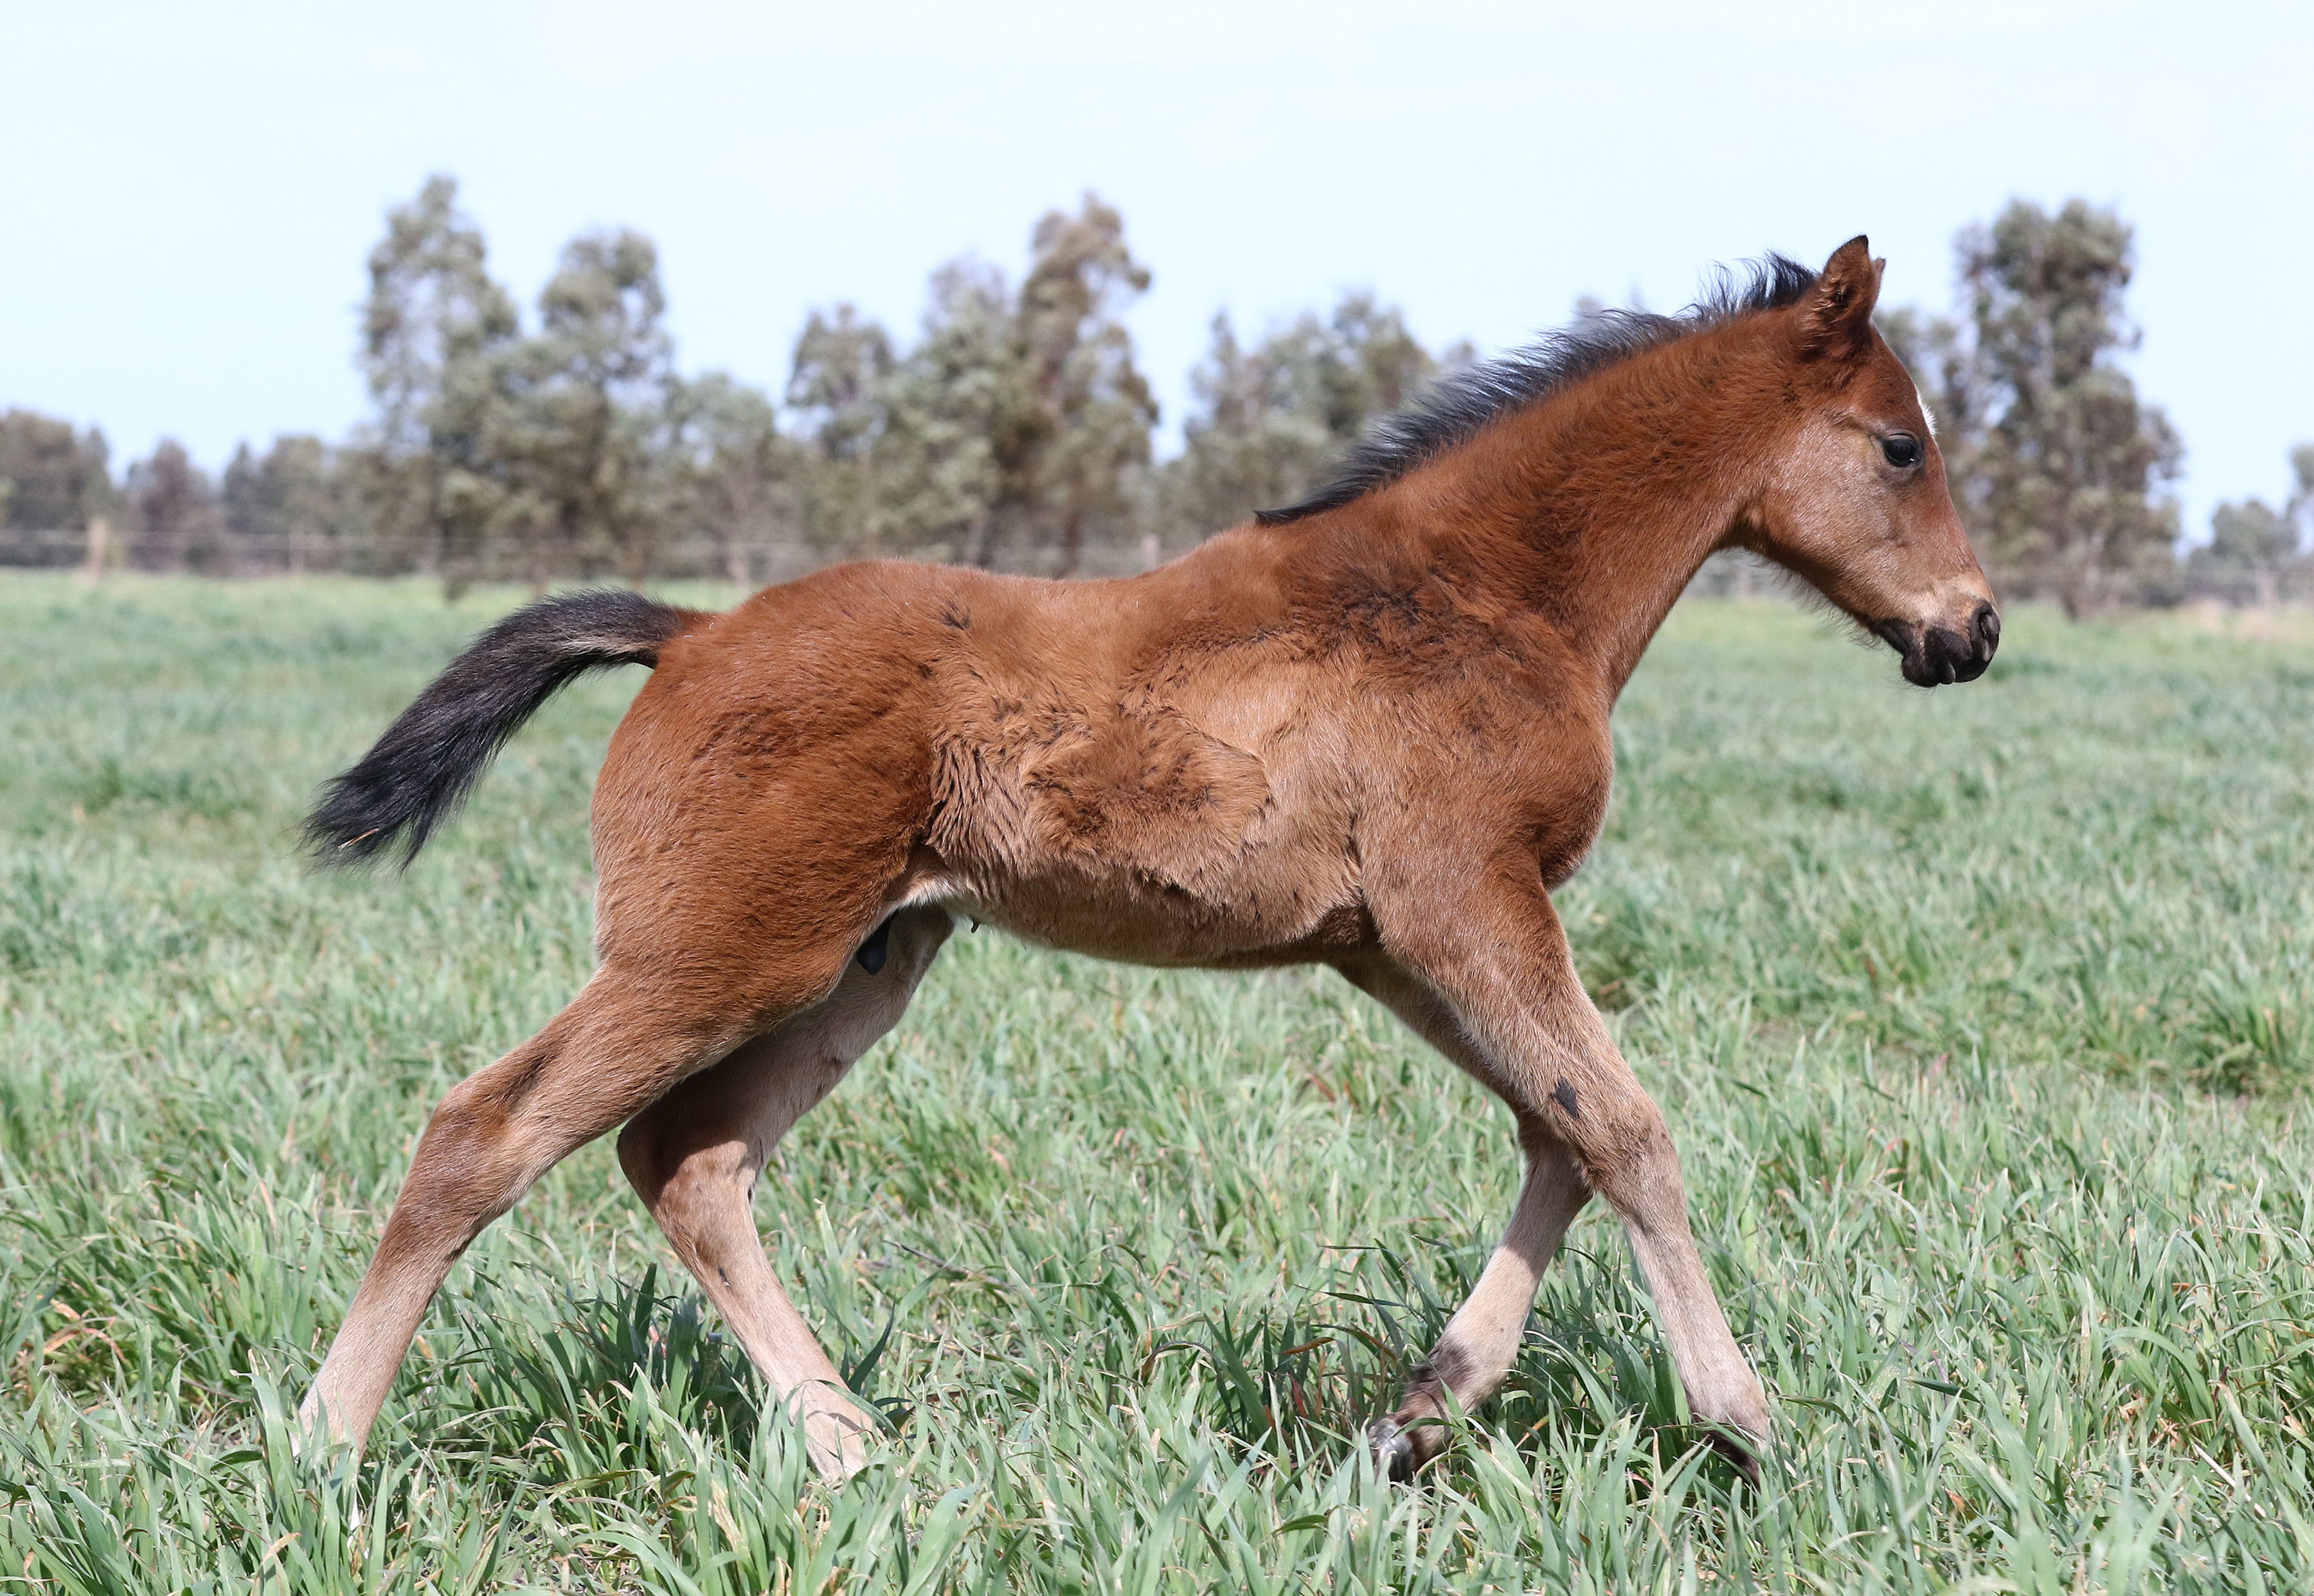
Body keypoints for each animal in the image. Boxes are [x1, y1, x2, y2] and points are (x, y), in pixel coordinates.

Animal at [307, 239, 1999, 1480]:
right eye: (1899, 445)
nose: (1971, 629)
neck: (1479, 594)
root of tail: (692, 631)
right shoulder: (1467, 902)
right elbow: (1629, 1129)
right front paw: (1745, 1423)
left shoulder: (1391, 942)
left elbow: (1558, 1134)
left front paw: (1416, 1414)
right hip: (721, 950)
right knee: (481, 1133)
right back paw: (323, 1447)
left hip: (861, 960)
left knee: (688, 1159)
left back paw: (853, 1448)